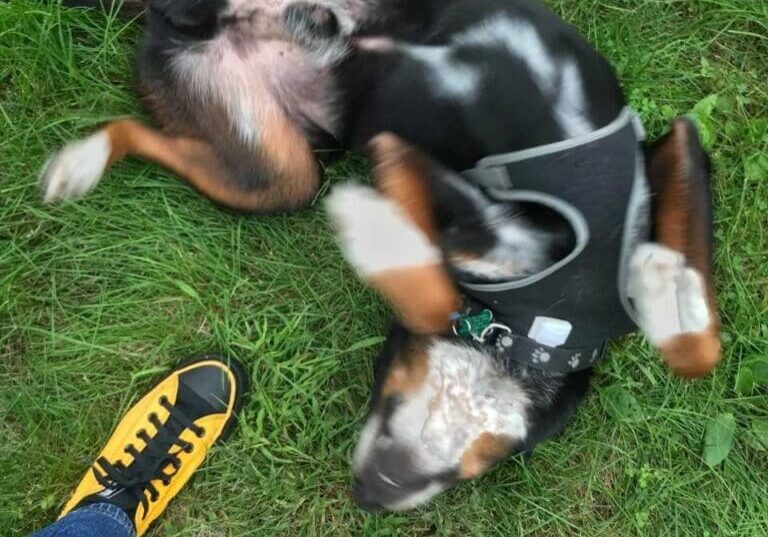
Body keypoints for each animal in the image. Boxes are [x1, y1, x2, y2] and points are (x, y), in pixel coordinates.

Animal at [45, 1, 724, 510]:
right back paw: (79, 162)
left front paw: (669, 289)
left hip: (274, 169)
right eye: (390, 398)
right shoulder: (416, 162)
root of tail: (174, 19)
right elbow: (431, 291)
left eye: (469, 472)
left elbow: (698, 346)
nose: (373, 496)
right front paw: (374, 231)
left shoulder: (678, 146)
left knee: (151, 132)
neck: (548, 320)